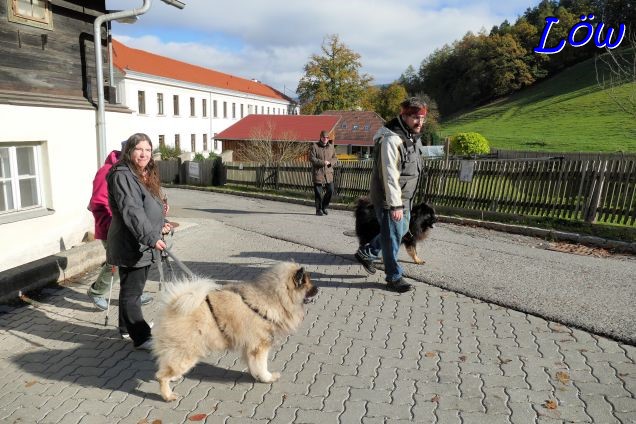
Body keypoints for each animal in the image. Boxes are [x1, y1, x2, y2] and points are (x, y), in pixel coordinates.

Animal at [152, 262, 316, 400]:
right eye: (308, 282)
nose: (318, 289)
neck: (273, 298)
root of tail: (172, 306)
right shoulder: (260, 346)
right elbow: (262, 365)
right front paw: (267, 378)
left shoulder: (250, 347)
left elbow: (253, 365)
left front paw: (257, 376)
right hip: (188, 352)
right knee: (161, 376)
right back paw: (168, 395)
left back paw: (175, 378)